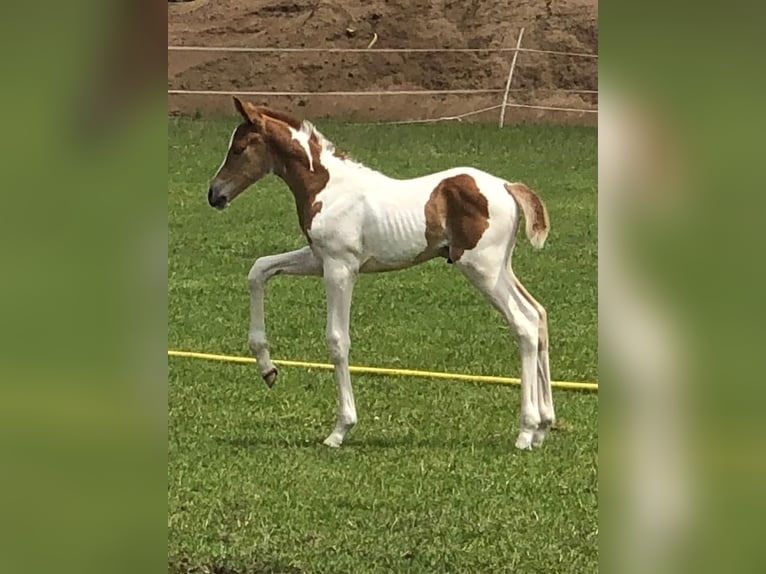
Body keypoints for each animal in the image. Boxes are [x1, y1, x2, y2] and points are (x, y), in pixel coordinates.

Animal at [208, 98, 560, 450]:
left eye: (239, 148)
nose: (214, 194)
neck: (327, 188)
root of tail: (507, 186)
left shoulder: (340, 267)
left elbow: (337, 339)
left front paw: (340, 429)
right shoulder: (318, 259)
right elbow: (259, 270)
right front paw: (268, 369)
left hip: (481, 268)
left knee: (524, 324)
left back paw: (526, 430)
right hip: (500, 268)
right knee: (538, 313)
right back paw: (543, 426)